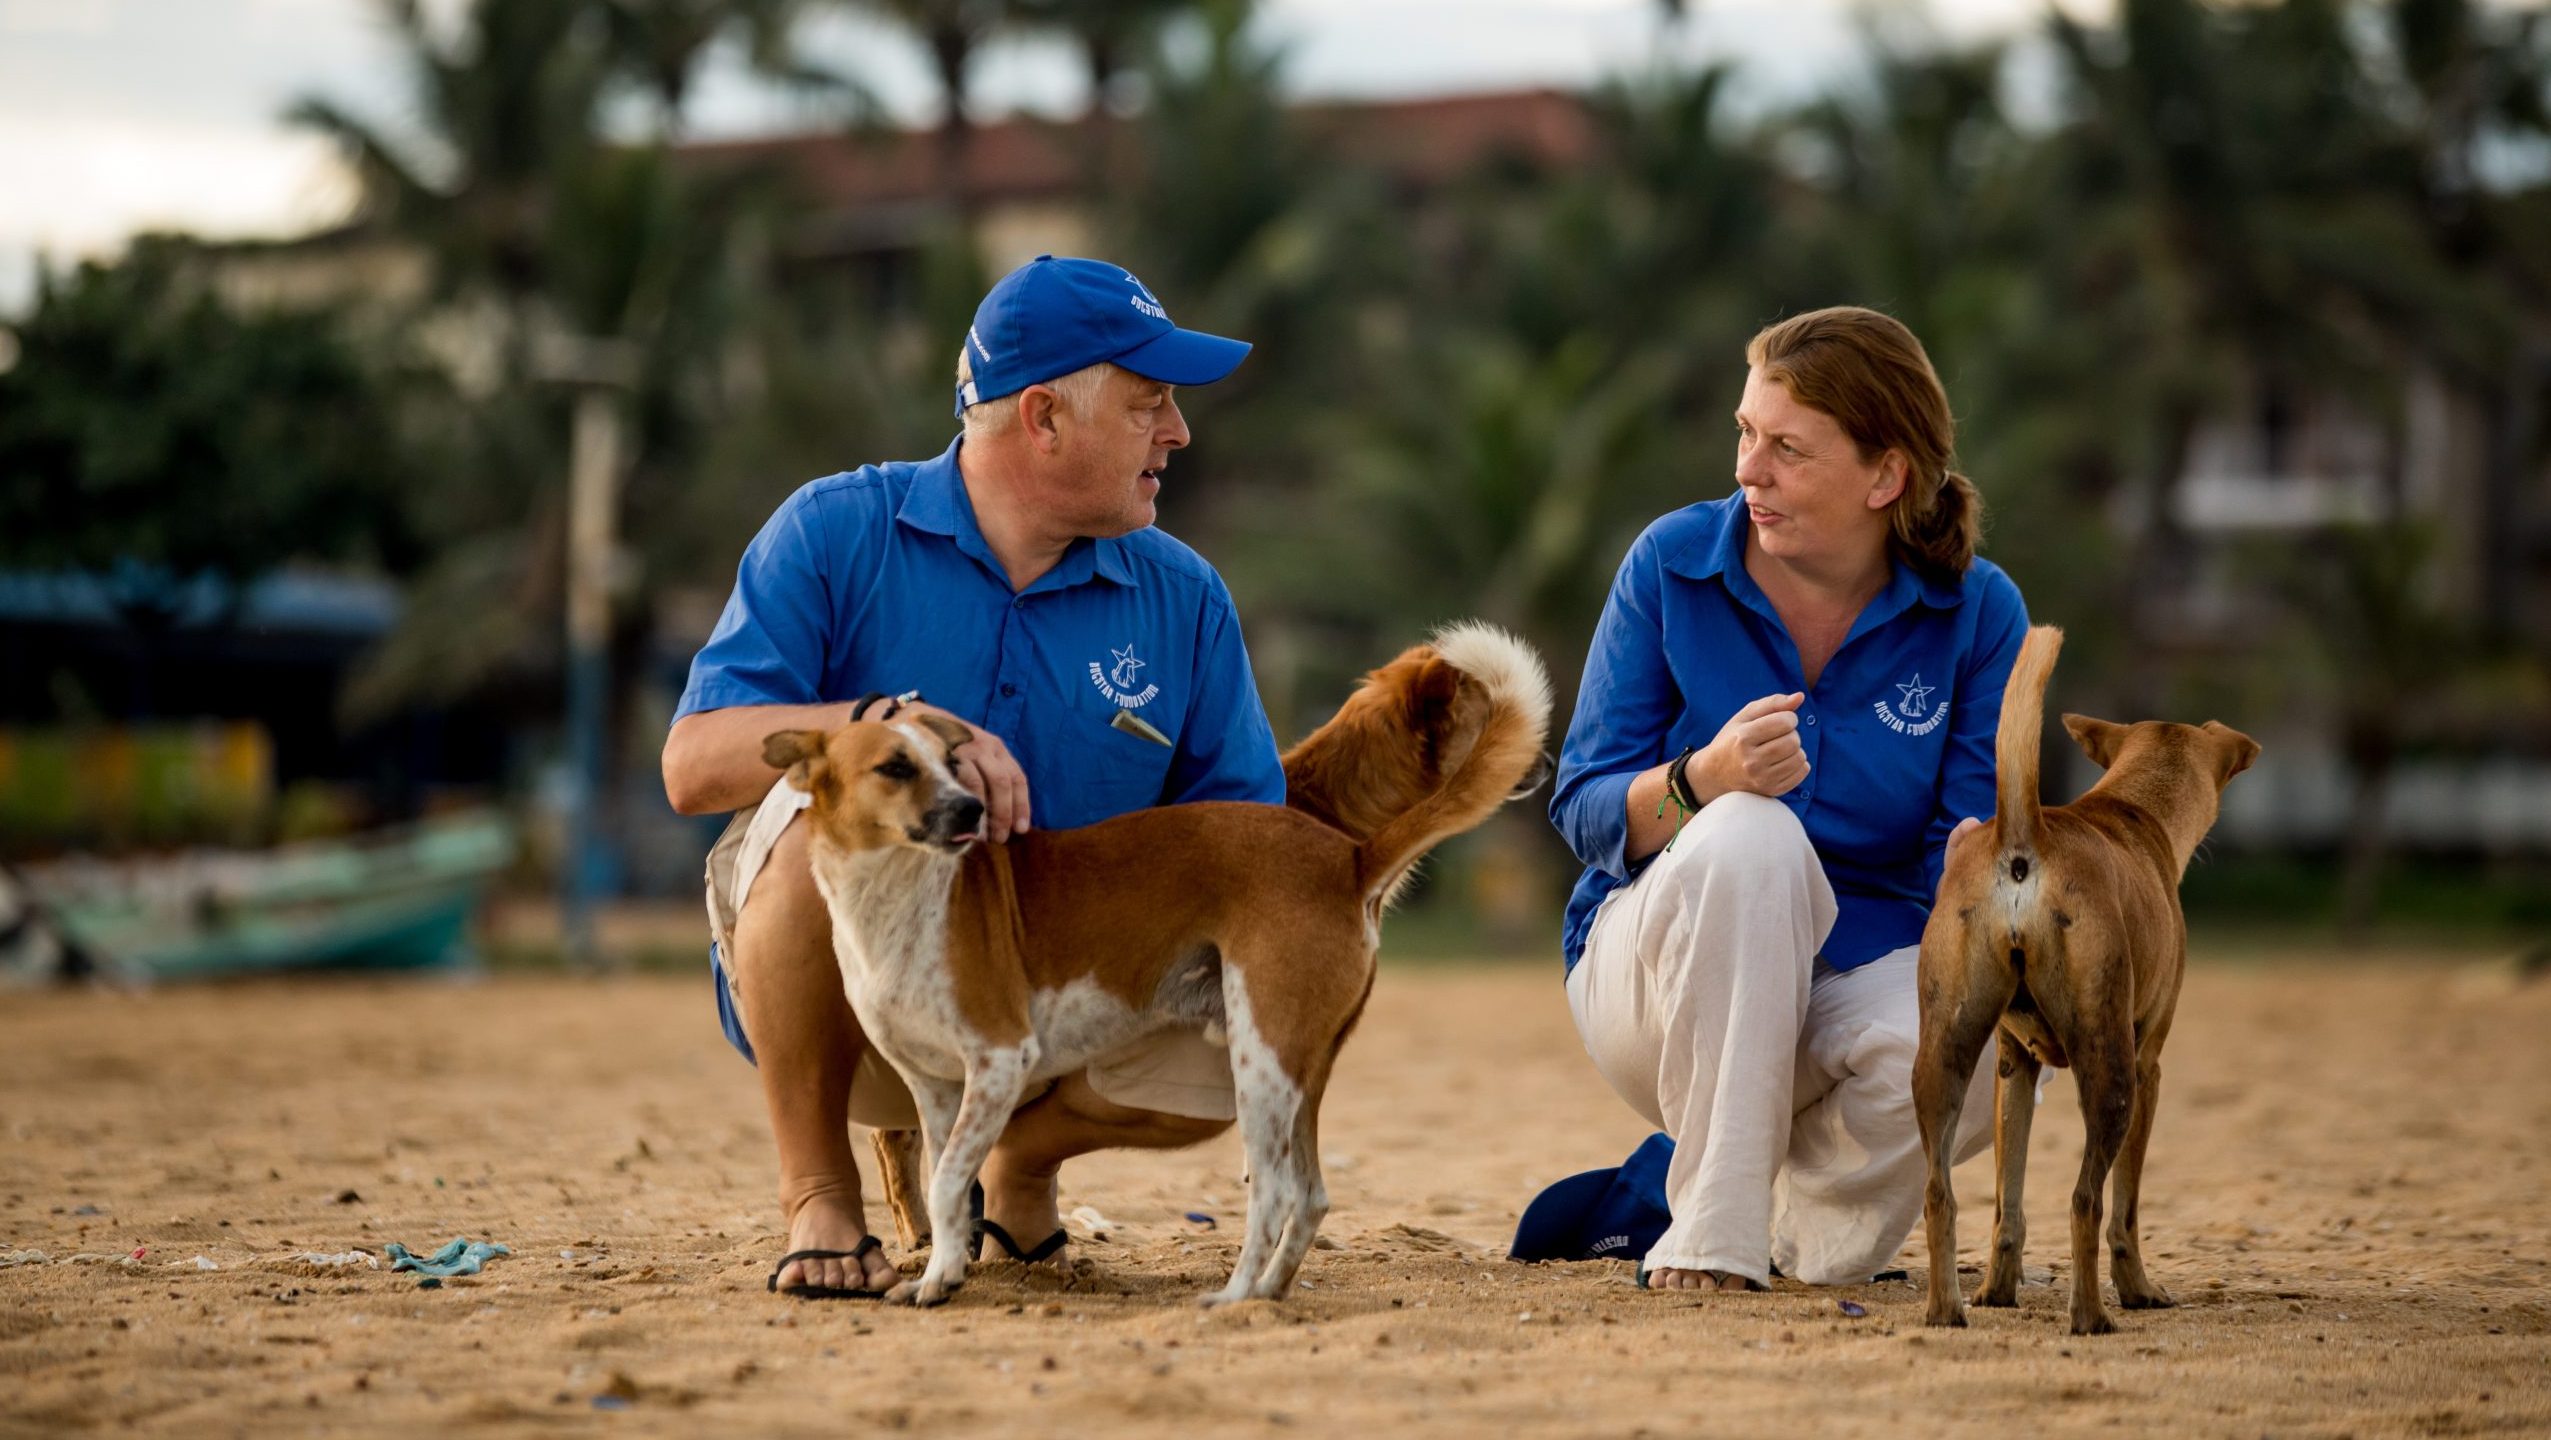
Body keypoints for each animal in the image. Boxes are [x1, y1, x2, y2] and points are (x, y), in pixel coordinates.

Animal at [760, 617, 1551, 1307]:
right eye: (896, 767)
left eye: (952, 764)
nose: (970, 811)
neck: (901, 894)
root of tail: (1349, 858)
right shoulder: (935, 1086)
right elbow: (945, 1187)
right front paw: (941, 1275)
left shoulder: (1001, 1059)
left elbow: (952, 1178)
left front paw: (938, 1279)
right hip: (1297, 1068)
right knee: (1312, 1195)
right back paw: (1266, 1295)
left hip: (1260, 1059)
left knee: (1277, 1194)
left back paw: (1232, 1298)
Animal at [1918, 625, 2255, 1337]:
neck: (2131, 809)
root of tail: (2026, 838)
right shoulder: (2150, 1066)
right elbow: (2124, 1207)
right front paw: (2140, 1289)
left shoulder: (2013, 1065)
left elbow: (2009, 1203)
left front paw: (1998, 1291)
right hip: (2111, 1072)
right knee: (2085, 1200)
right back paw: (2092, 1314)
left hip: (1944, 1054)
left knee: (1940, 1192)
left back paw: (1947, 1308)